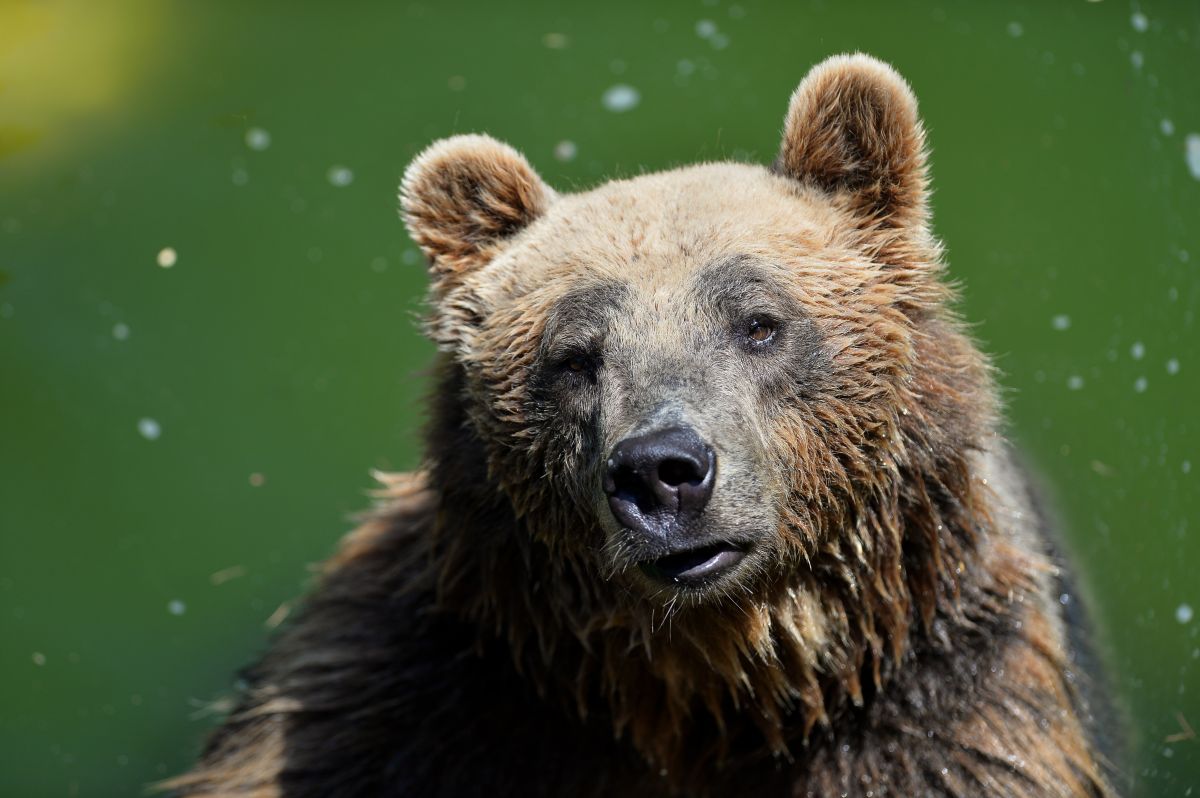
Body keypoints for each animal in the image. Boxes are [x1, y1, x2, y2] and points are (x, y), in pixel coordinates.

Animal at [174, 56, 1118, 796]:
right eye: (574, 357)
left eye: (759, 324)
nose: (661, 471)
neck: (695, 689)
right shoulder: (407, 688)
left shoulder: (947, 707)